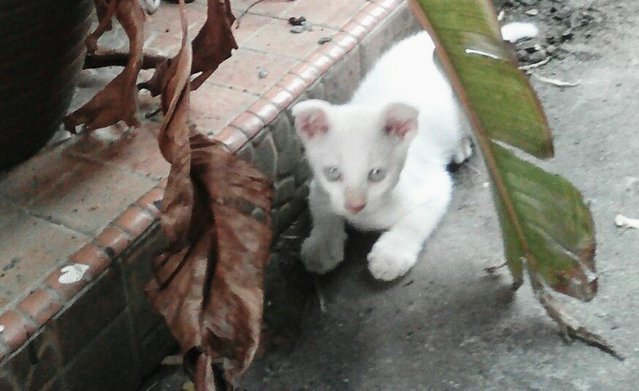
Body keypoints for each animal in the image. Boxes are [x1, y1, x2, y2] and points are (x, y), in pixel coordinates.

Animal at [292, 24, 536, 280]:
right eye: (333, 173)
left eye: (376, 174)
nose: (355, 206)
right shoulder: (318, 186)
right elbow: (323, 212)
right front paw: (321, 247)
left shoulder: (435, 185)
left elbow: (416, 221)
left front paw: (391, 255)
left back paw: (460, 146)